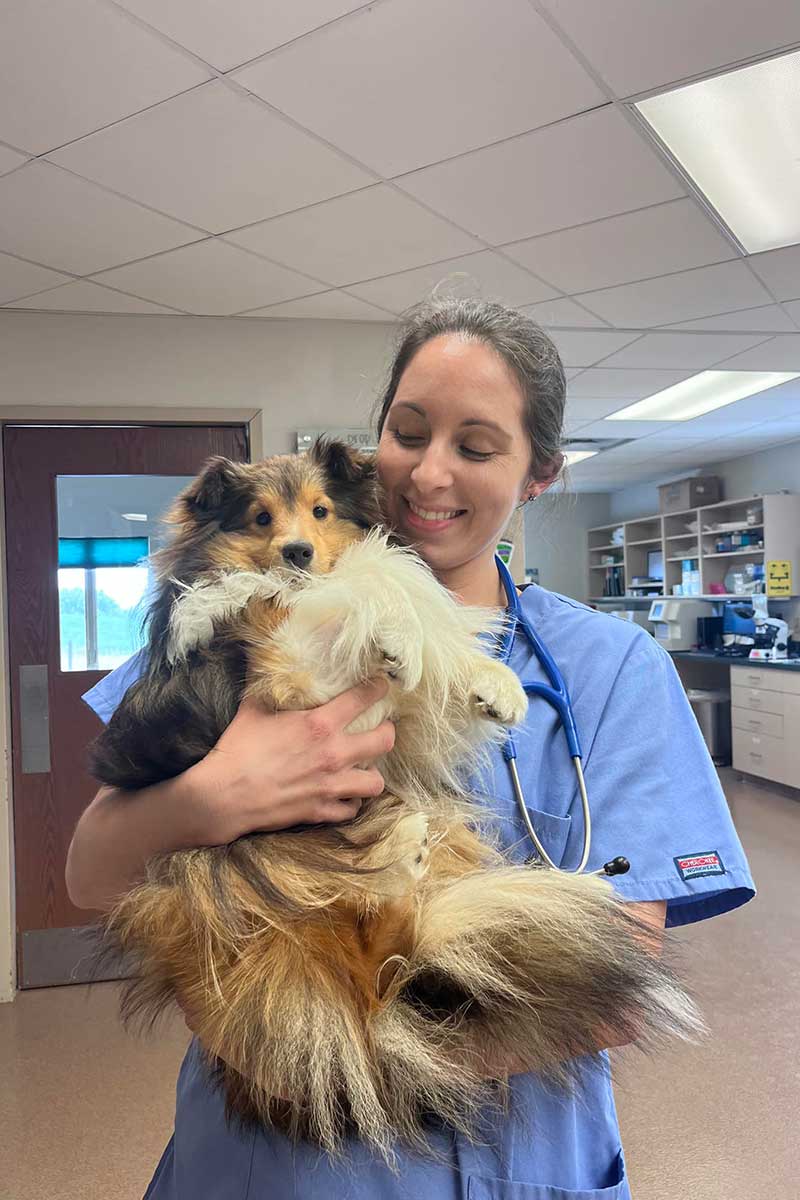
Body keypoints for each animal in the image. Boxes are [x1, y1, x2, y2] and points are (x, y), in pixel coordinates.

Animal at [89, 441, 700, 1161]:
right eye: (261, 517)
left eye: (321, 510)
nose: (297, 552)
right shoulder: (288, 667)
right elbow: (370, 594)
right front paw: (397, 636)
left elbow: (395, 589)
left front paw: (492, 683)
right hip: (216, 885)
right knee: (379, 959)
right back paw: (409, 868)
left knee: (397, 955)